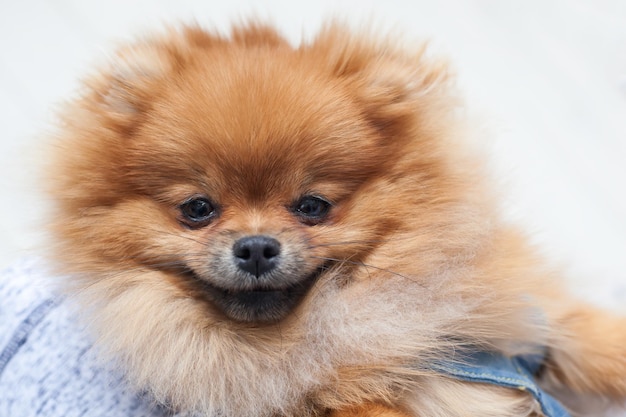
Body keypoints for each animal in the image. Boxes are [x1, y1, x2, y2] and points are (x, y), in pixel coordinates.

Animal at [47, 23, 624, 416]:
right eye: (197, 209)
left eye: (312, 206)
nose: (255, 247)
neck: (339, 320)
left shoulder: (525, 322)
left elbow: (589, 335)